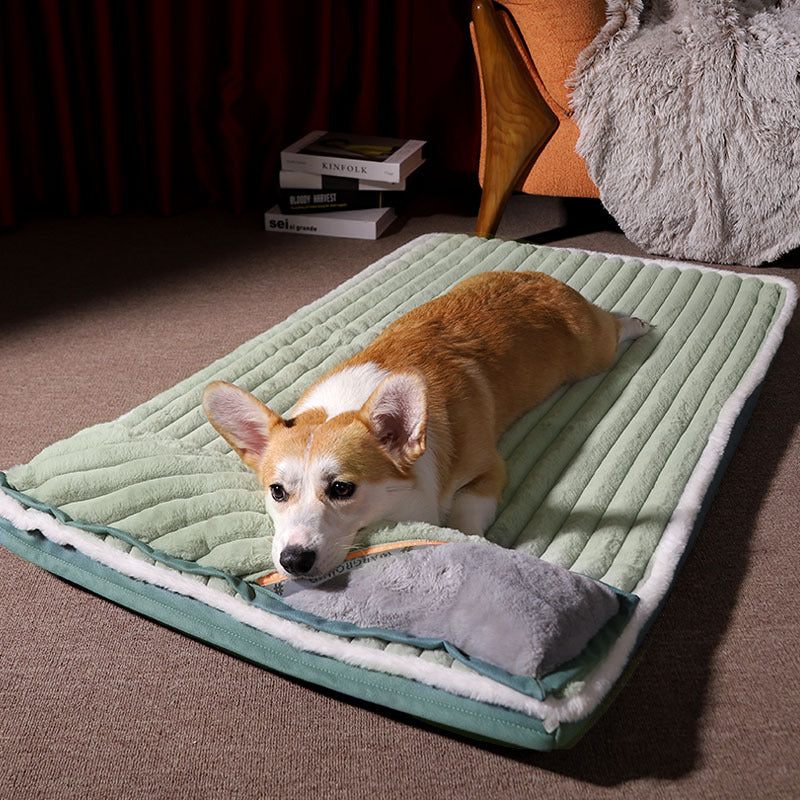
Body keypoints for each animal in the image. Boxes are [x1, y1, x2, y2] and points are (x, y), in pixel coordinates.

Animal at [203, 268, 648, 576]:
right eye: (277, 492)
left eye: (342, 489)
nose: (293, 561)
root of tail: (543, 279)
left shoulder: (489, 471)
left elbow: (465, 513)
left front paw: (471, 540)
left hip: (593, 352)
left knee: (613, 327)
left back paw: (637, 323)